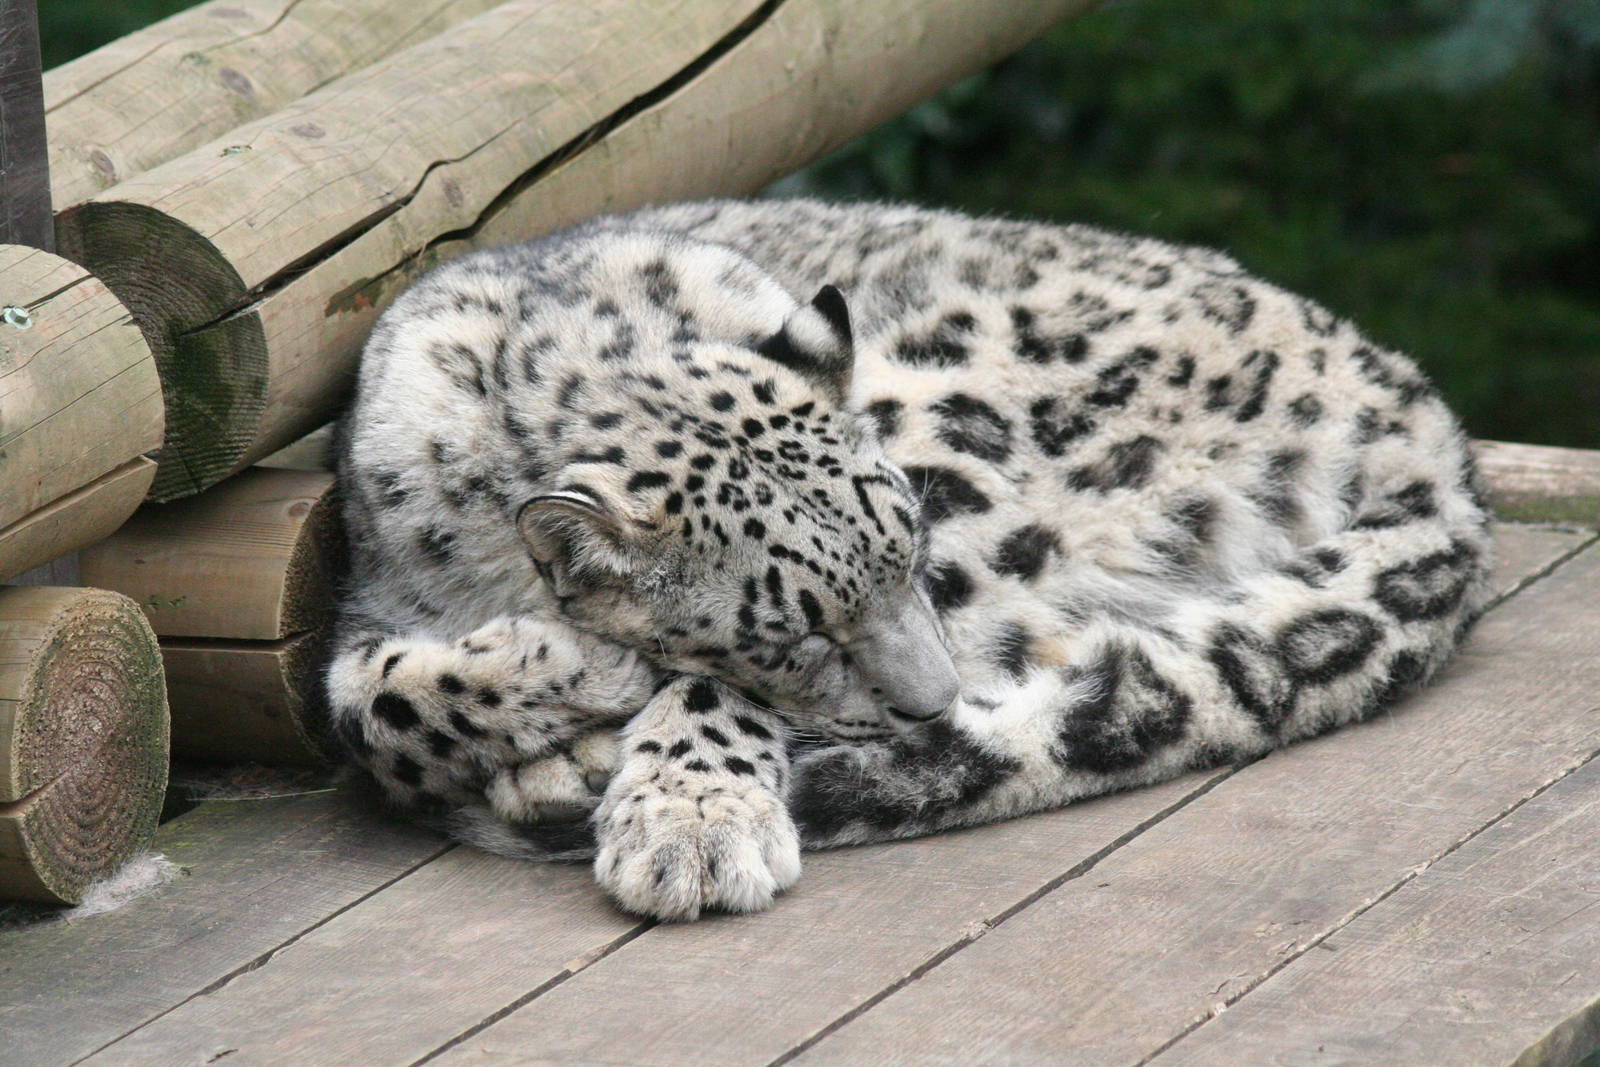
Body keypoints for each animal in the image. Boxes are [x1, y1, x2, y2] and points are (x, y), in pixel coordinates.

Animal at [325, 197, 1493, 921]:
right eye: (793, 632)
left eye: (912, 550)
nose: (931, 705)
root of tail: (1422, 414)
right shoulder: (372, 601)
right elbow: (373, 705)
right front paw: (582, 673)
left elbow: (699, 689)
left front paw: (684, 822)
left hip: (958, 419)